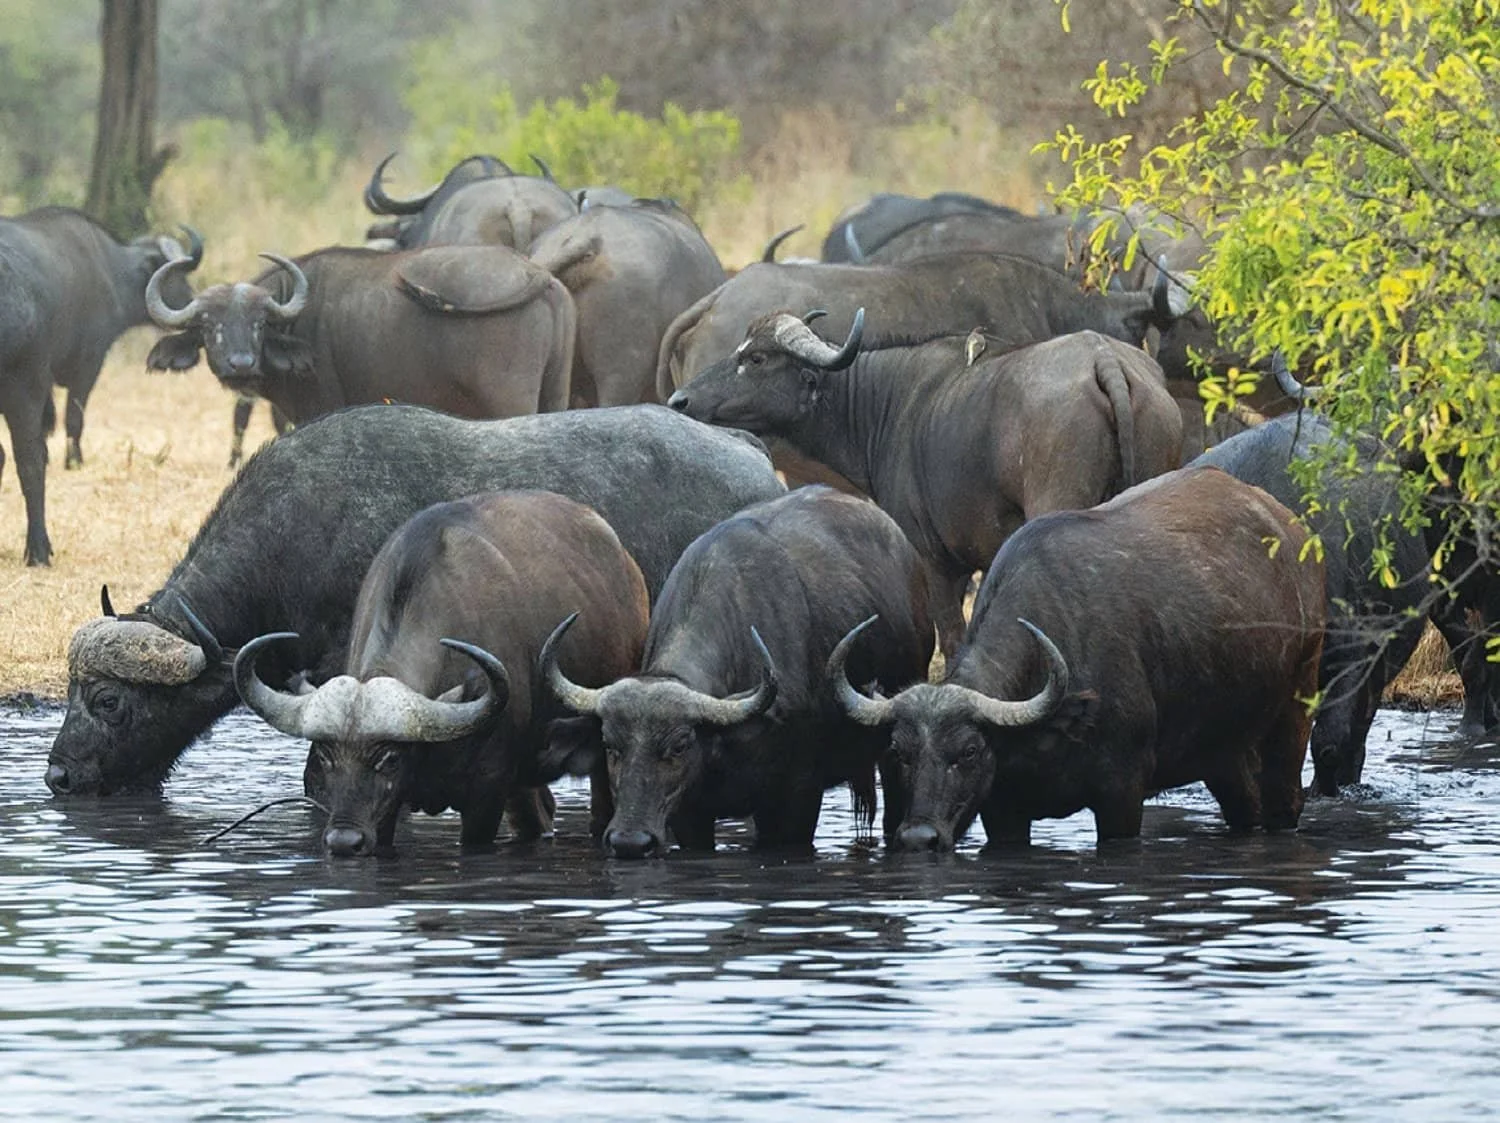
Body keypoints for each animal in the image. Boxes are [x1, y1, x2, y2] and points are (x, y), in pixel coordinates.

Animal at [0, 208, 196, 564]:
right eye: (175, 277)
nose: (193, 303)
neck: (107, 270)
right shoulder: (88, 364)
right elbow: (73, 420)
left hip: (24, 387)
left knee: (29, 460)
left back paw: (38, 550)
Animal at [144, 244, 576, 424]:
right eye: (208, 324)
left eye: (259, 323)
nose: (240, 364)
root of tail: (535, 272)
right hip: (556, 393)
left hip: (511, 400)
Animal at [668, 313, 1182, 657]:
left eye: (756, 358)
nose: (680, 399)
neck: (887, 403)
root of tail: (1105, 360)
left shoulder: (935, 560)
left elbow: (951, 639)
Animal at [832, 467, 1326, 850]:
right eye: (899, 752)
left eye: (970, 750)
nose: (919, 838)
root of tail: (1293, 532)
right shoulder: (1003, 811)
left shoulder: (1122, 794)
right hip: (1224, 749)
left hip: (1297, 703)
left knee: (1284, 800)